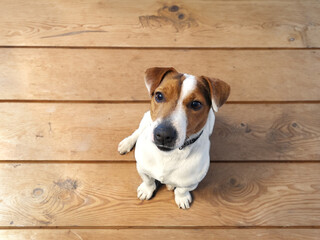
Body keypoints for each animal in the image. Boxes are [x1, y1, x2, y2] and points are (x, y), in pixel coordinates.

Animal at [117, 67, 230, 208]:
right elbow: (148, 180)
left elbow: (182, 190)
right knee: (138, 131)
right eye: (159, 96)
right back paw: (127, 142)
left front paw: (182, 197)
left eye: (196, 104)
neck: (168, 156)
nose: (163, 134)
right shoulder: (142, 168)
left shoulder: (192, 182)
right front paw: (146, 190)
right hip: (146, 118)